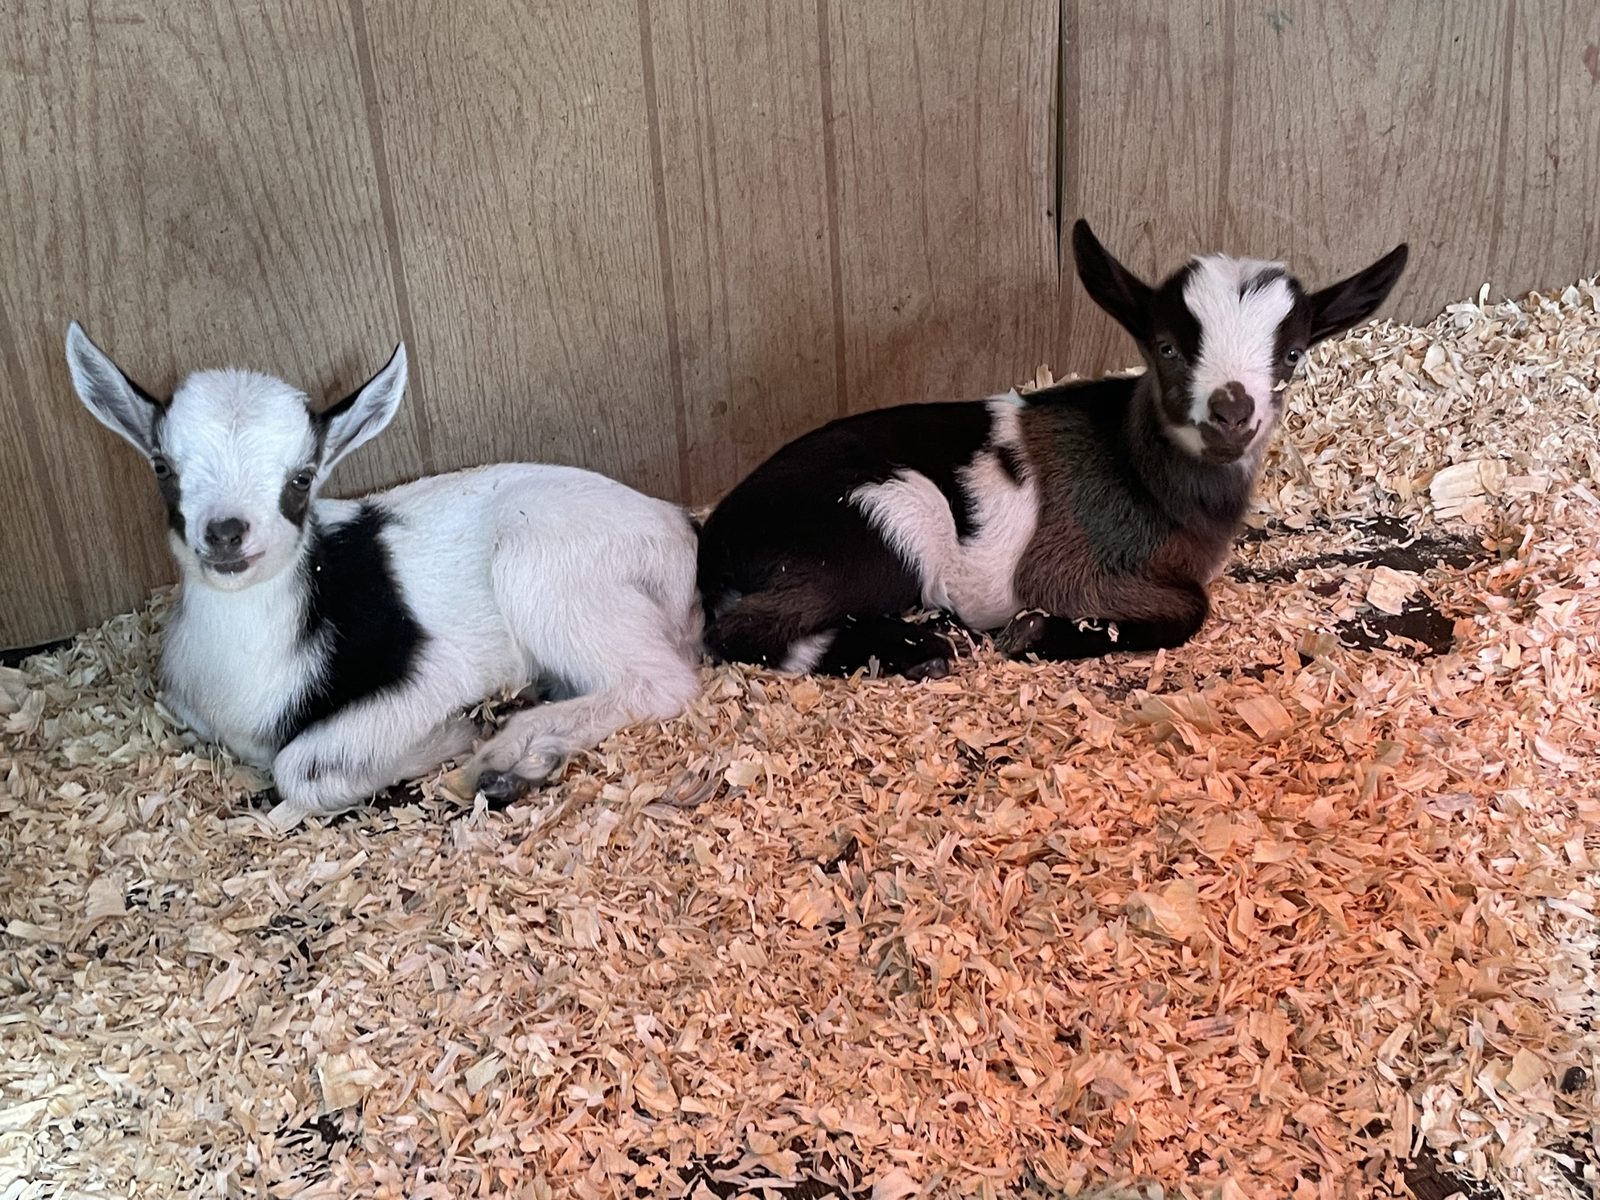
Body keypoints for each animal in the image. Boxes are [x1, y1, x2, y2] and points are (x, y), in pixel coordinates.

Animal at [65, 326, 703, 829]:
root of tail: (675, 527)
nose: (226, 532)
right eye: (162, 467)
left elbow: (298, 767)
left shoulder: (427, 677)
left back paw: (503, 756)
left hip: (544, 574)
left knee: (659, 682)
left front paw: (448, 739)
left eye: (302, 477)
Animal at [696, 219, 1408, 677]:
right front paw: (1036, 632)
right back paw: (920, 649)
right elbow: (1190, 608)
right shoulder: (1068, 566)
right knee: (739, 632)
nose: (1232, 414)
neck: (1139, 471)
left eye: (1292, 355)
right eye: (1167, 347)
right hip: (891, 517)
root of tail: (718, 539)